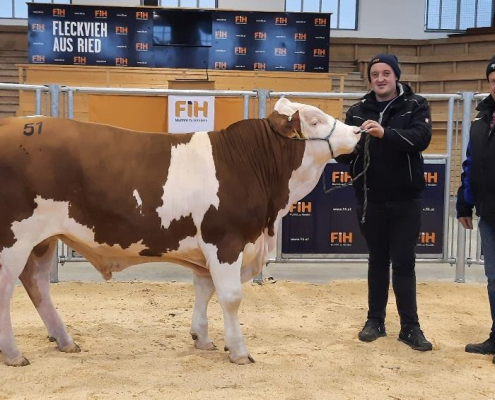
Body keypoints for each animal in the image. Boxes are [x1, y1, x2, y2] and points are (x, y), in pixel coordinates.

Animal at [0, 97, 360, 366]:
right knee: (7, 288)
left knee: (37, 284)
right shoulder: (225, 239)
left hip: (43, 240)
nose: (357, 130)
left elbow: (204, 289)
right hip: (15, 239)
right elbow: (230, 296)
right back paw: (14, 354)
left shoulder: (210, 246)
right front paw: (239, 351)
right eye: (315, 120)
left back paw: (65, 340)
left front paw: (202, 338)